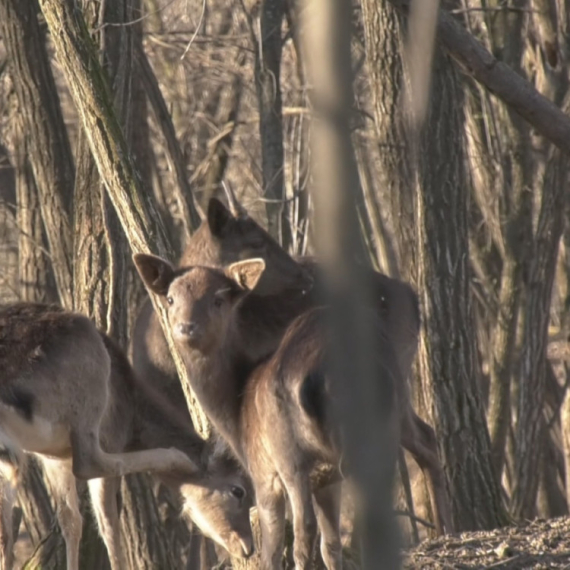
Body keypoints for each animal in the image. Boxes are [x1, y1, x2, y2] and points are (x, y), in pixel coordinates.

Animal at [0, 302, 253, 568]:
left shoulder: (52, 457)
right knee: (89, 462)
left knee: (5, 529)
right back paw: (175, 456)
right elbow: (109, 525)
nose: (248, 547)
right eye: (238, 490)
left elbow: (71, 521)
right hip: (91, 384)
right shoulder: (110, 437)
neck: (133, 415)